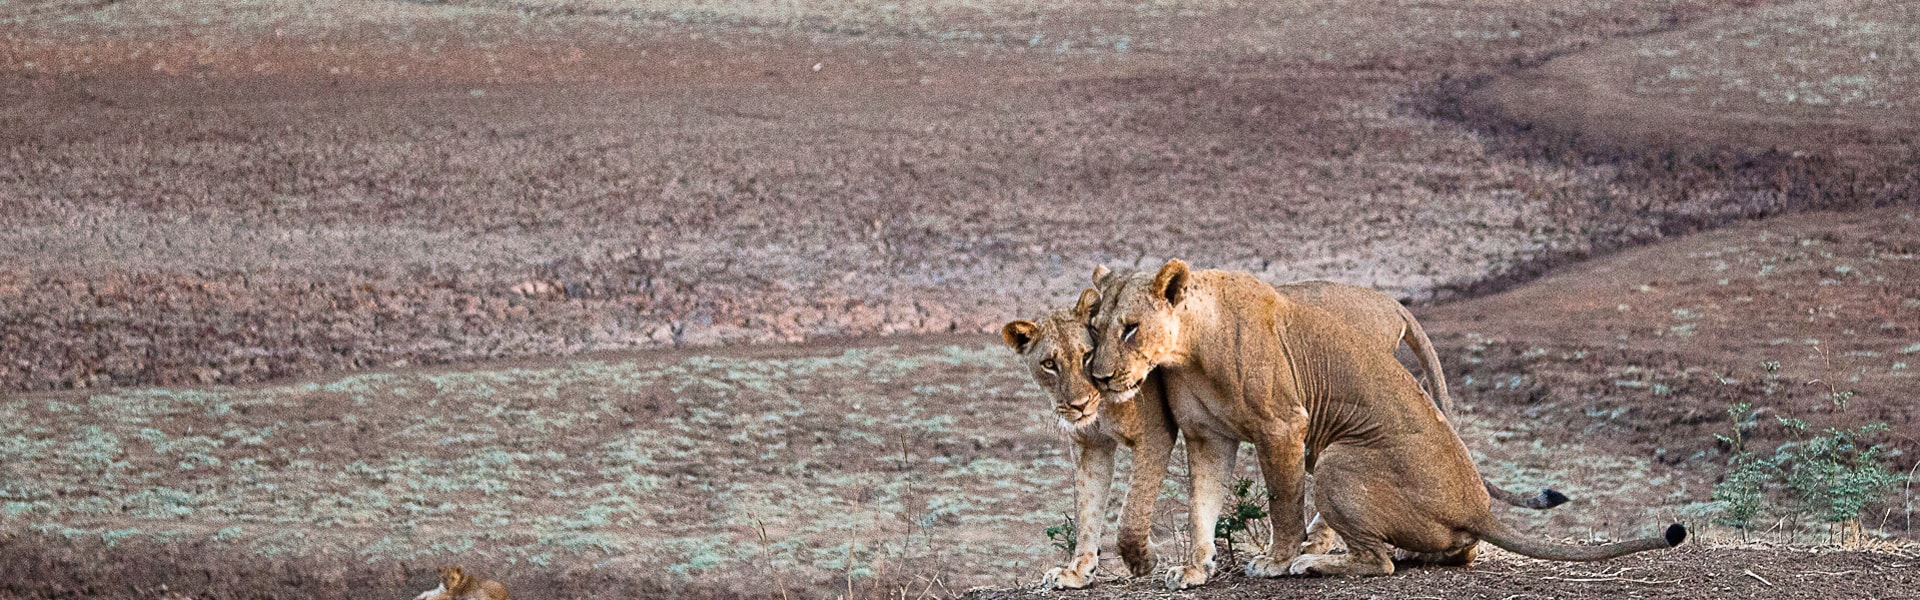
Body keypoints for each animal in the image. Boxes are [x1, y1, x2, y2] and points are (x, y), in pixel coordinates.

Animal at [1090, 259, 1689, 588]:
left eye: (1130, 328)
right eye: (1094, 326)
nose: (1098, 376)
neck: (1187, 349)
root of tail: (1476, 507)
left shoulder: (1283, 425)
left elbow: (1282, 503)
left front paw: (1275, 561)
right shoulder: (1208, 438)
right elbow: (1202, 508)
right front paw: (1194, 571)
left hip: (1336, 458)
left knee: (1378, 563)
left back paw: (1313, 563)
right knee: (1450, 552)